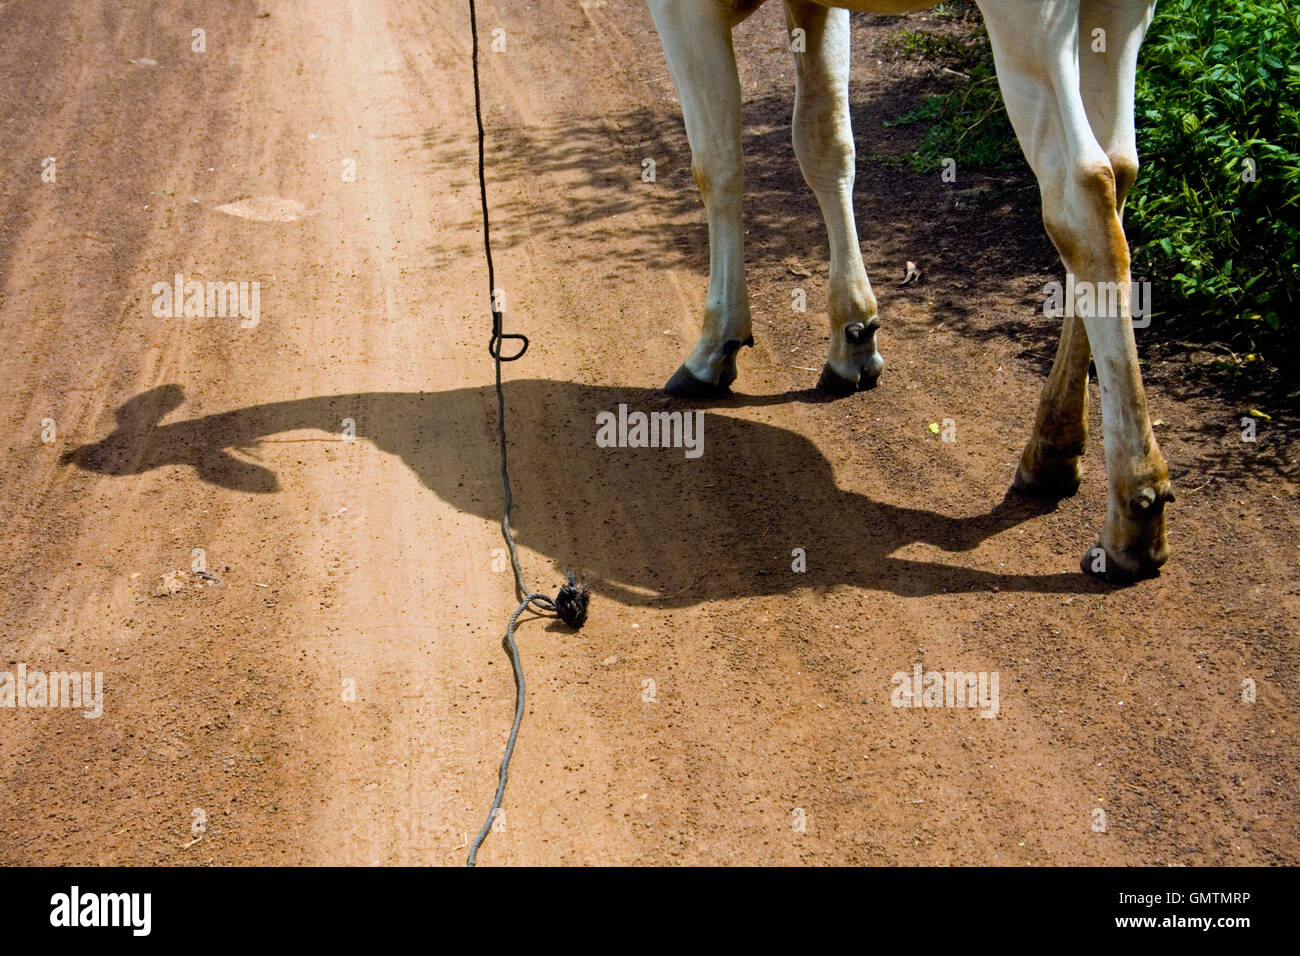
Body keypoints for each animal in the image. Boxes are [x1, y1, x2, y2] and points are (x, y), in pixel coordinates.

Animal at [644, 0, 1175, 582]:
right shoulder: (814, 6)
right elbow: (825, 140)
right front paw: (854, 337)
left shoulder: (682, 10)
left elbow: (716, 162)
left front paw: (715, 346)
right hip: (1121, 14)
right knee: (1120, 170)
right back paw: (1052, 450)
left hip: (1032, 21)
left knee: (1084, 193)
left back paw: (1132, 511)